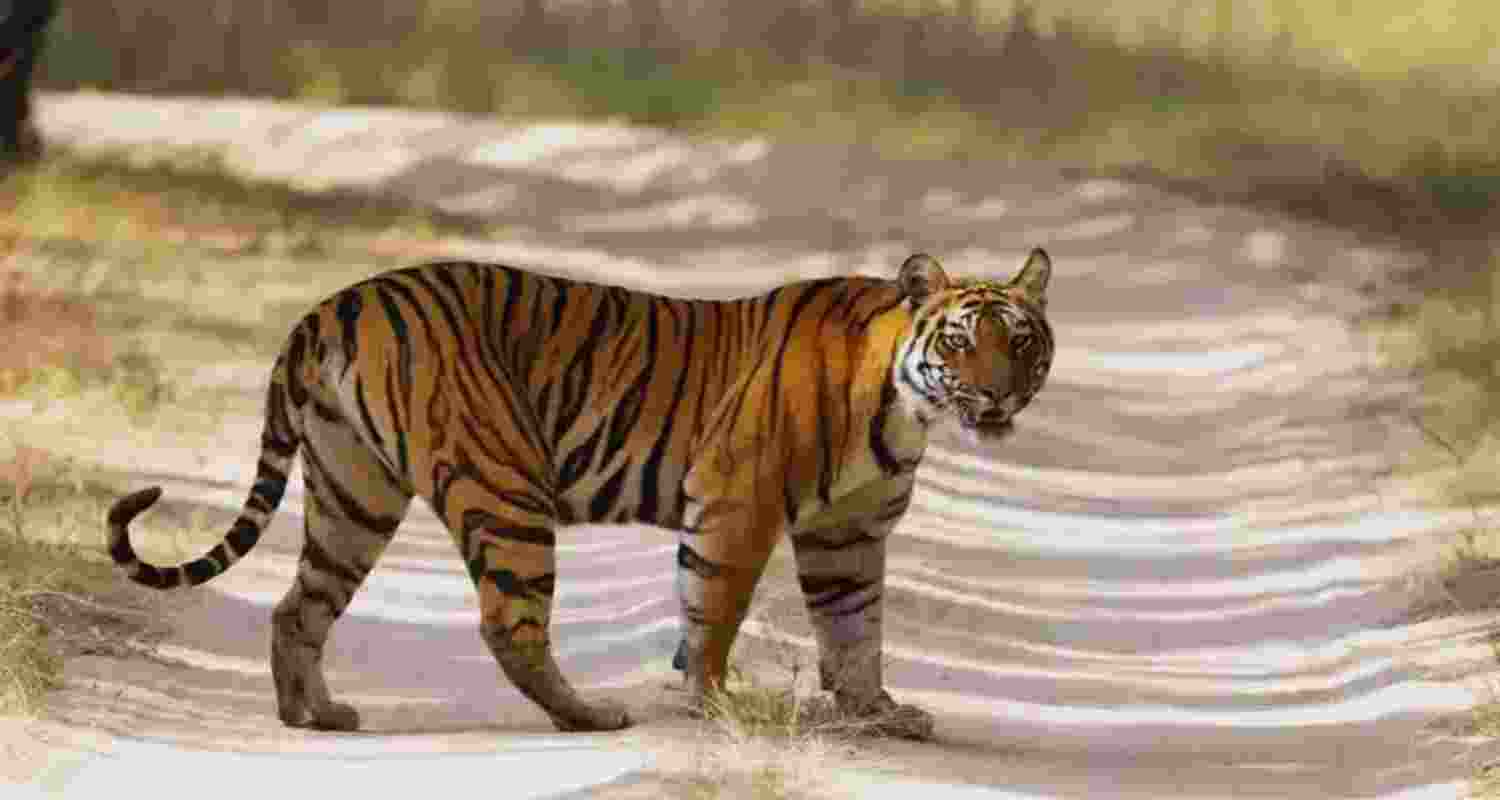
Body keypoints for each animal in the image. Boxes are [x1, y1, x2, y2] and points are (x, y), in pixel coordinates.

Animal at [107, 248, 1054, 739]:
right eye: (962, 341)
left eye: (1022, 342)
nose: (998, 396)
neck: (908, 408)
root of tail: (332, 307)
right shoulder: (739, 502)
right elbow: (714, 610)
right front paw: (710, 702)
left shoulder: (847, 537)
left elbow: (857, 632)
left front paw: (878, 713)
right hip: (506, 483)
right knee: (509, 624)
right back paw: (589, 715)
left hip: (353, 492)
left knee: (298, 606)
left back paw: (313, 715)